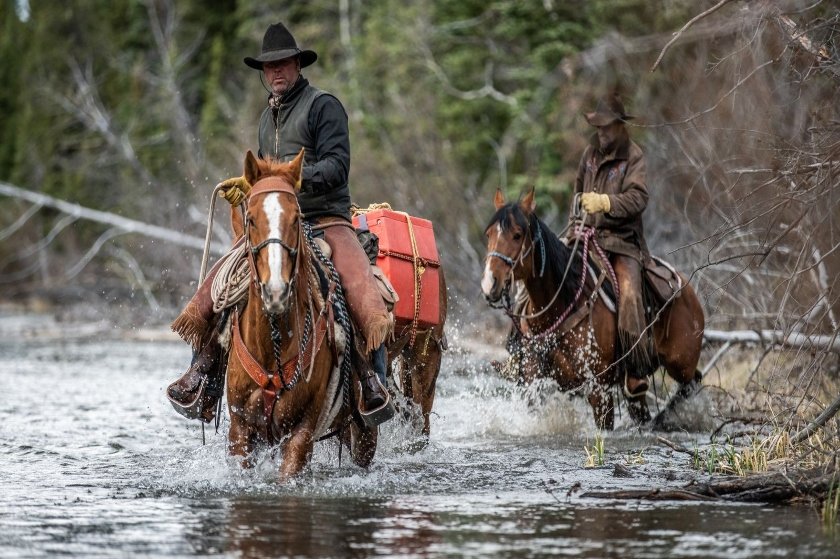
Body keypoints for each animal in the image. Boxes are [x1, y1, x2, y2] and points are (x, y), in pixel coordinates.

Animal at [226, 150, 378, 482]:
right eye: (251, 219)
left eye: (296, 219)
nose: (276, 290)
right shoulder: (240, 429)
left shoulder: (301, 432)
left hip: (363, 432)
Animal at [480, 190, 704, 430]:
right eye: (488, 234)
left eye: (517, 234)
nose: (489, 284)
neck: (559, 308)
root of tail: (687, 288)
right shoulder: (533, 385)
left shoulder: (599, 390)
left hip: (680, 363)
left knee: (692, 381)